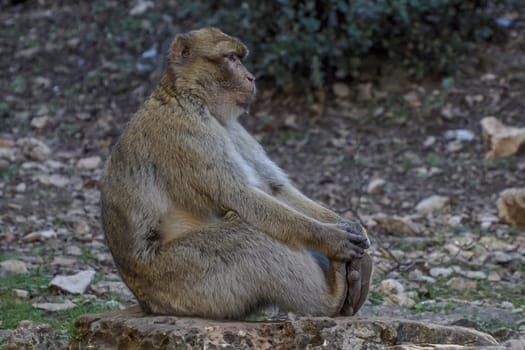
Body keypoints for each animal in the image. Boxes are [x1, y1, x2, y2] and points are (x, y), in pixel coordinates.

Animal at [100, 27, 370, 318]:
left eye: (240, 58)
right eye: (230, 58)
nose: (251, 77)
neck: (191, 97)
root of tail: (146, 303)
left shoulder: (231, 128)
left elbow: (273, 188)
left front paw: (351, 228)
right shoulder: (185, 131)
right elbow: (238, 196)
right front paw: (331, 238)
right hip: (185, 281)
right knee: (251, 236)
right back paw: (331, 298)